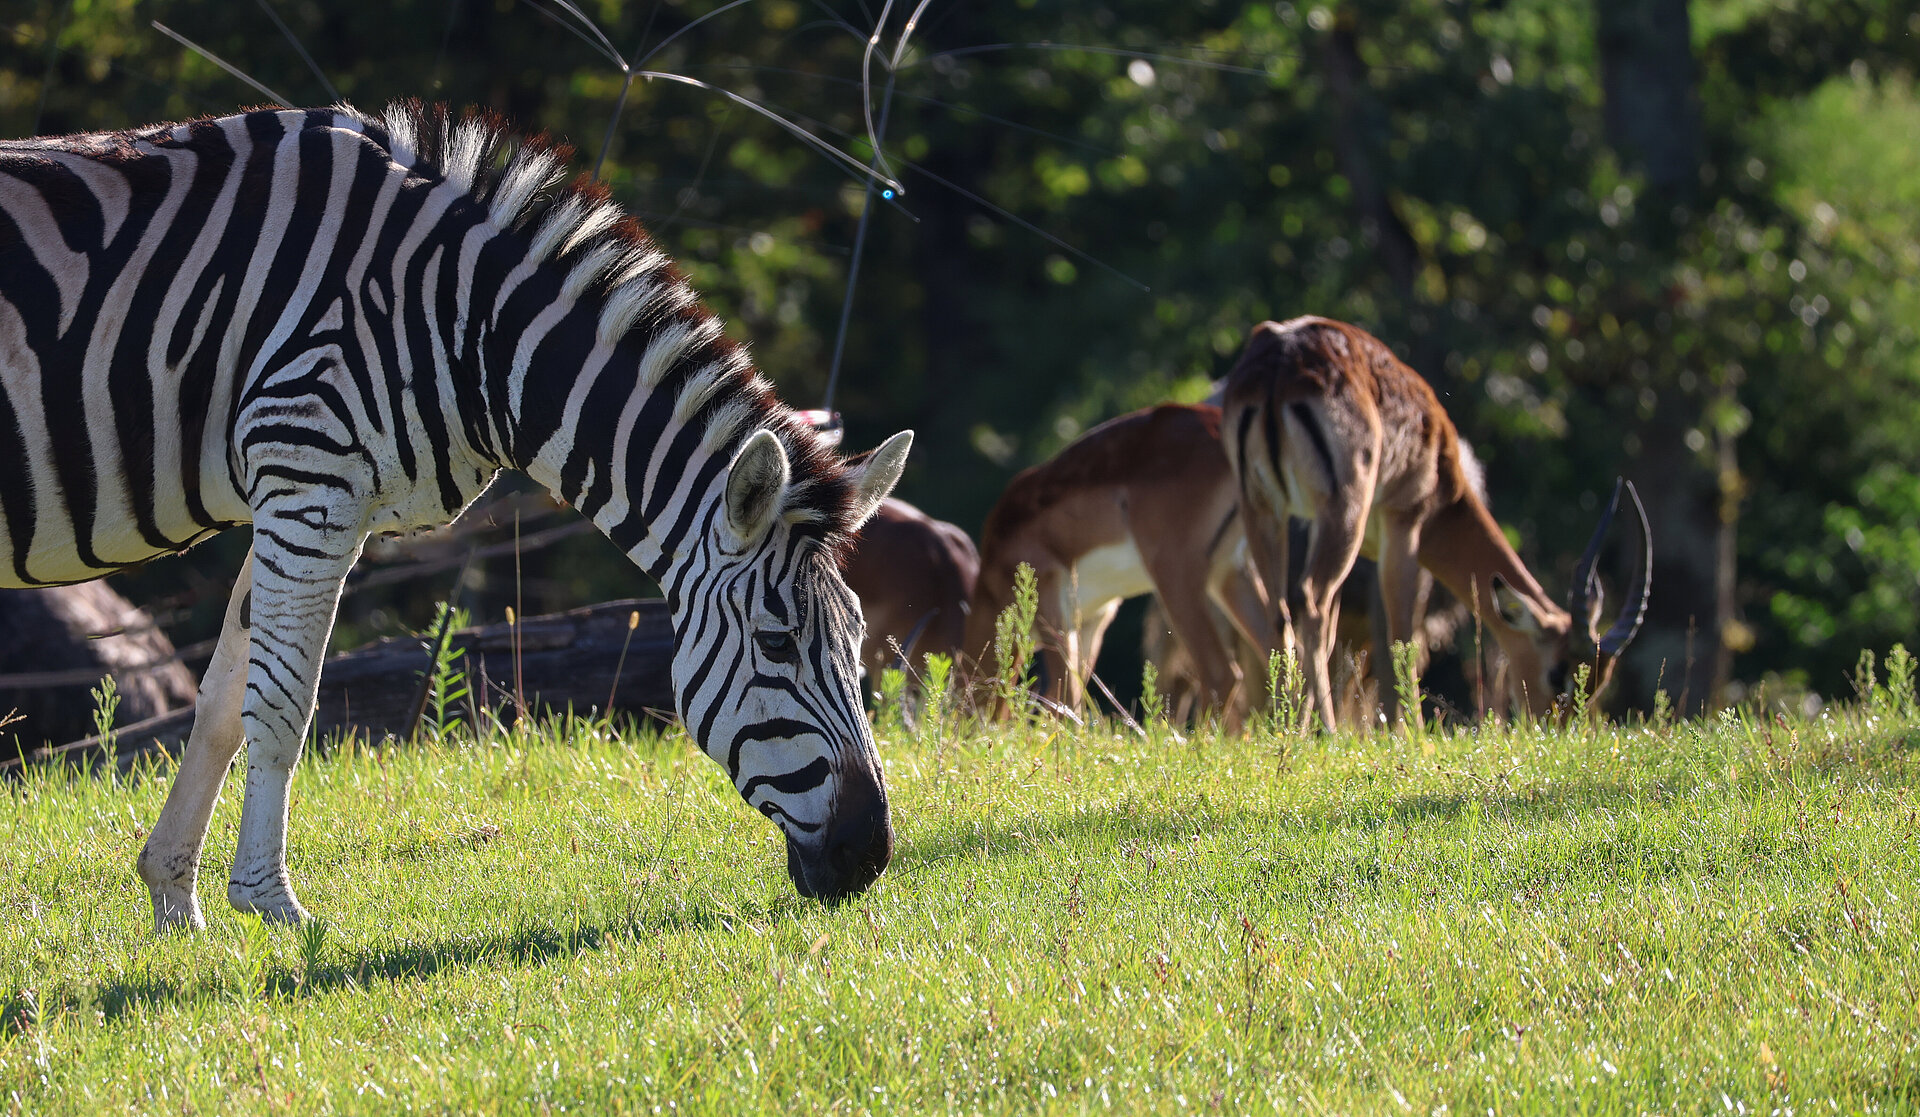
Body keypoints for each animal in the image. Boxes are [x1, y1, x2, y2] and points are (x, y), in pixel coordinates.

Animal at [0, 105, 910, 932]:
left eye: (859, 632)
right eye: (777, 643)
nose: (871, 856)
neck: (462, 327)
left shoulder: (296, 492)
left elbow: (227, 697)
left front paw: (174, 901)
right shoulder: (308, 478)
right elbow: (285, 703)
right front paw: (274, 907)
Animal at [960, 403, 1274, 725]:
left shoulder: (1054, 617)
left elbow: (1063, 696)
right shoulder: (1092, 622)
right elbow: (1066, 700)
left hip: (1175, 576)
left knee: (1221, 673)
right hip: (1230, 573)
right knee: (1279, 647)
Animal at [1228, 316, 1651, 736]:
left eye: (1597, 684)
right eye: (1557, 673)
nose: (1555, 729)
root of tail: (1282, 360)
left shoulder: (1322, 524)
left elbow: (1340, 631)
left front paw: (1304, 726)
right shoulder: (1405, 525)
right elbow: (1402, 636)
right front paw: (1412, 733)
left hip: (1265, 507)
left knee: (1281, 612)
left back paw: (1285, 726)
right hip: (1344, 509)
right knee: (1312, 600)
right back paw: (1329, 730)